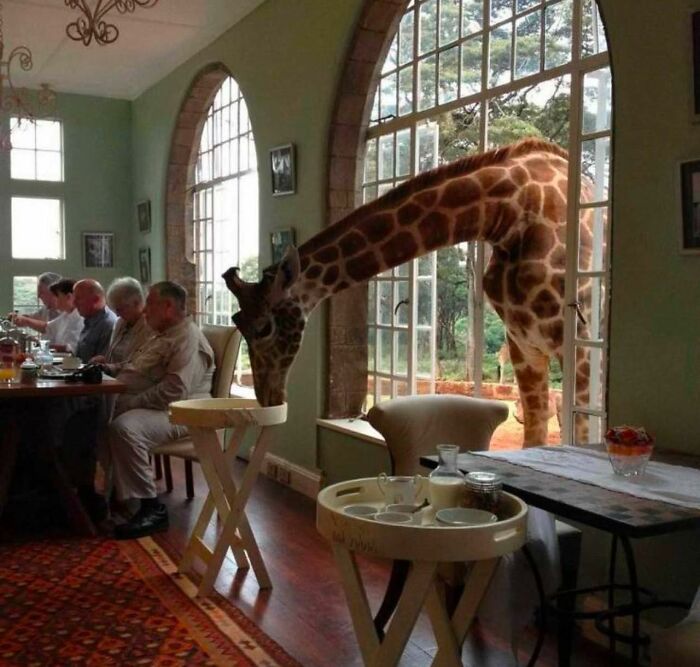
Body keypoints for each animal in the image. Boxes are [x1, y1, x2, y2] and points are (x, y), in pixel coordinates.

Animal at [223, 138, 592, 446]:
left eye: (264, 328)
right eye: (237, 321)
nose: (268, 398)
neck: (510, 213)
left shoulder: (576, 341)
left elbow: (581, 432)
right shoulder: (523, 344)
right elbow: (536, 434)